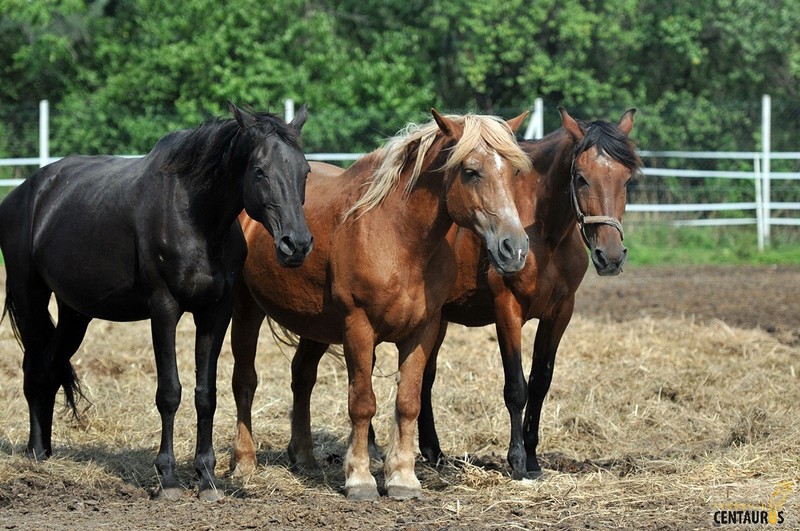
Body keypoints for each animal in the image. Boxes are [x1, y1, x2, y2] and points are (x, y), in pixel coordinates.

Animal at [0, 102, 314, 500]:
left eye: (305, 171)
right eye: (259, 171)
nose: (297, 245)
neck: (198, 220)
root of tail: (24, 193)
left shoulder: (215, 313)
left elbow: (205, 394)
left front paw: (207, 478)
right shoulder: (164, 309)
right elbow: (169, 392)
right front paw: (168, 478)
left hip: (75, 313)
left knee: (51, 367)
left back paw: (47, 452)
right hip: (30, 299)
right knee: (34, 369)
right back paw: (36, 451)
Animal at [230, 110, 532, 500]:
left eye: (513, 172)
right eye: (470, 171)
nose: (515, 248)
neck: (399, 237)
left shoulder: (423, 331)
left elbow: (408, 402)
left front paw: (403, 478)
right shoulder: (358, 328)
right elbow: (362, 403)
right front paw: (360, 479)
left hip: (316, 326)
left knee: (302, 377)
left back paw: (305, 458)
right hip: (246, 310)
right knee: (245, 381)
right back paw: (244, 463)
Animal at [288, 107, 644, 482]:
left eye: (627, 180)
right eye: (580, 177)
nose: (611, 256)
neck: (544, 235)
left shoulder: (560, 312)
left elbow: (540, 382)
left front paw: (533, 459)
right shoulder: (508, 309)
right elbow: (516, 387)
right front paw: (518, 460)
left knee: (422, 379)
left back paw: (432, 451)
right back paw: (369, 449)